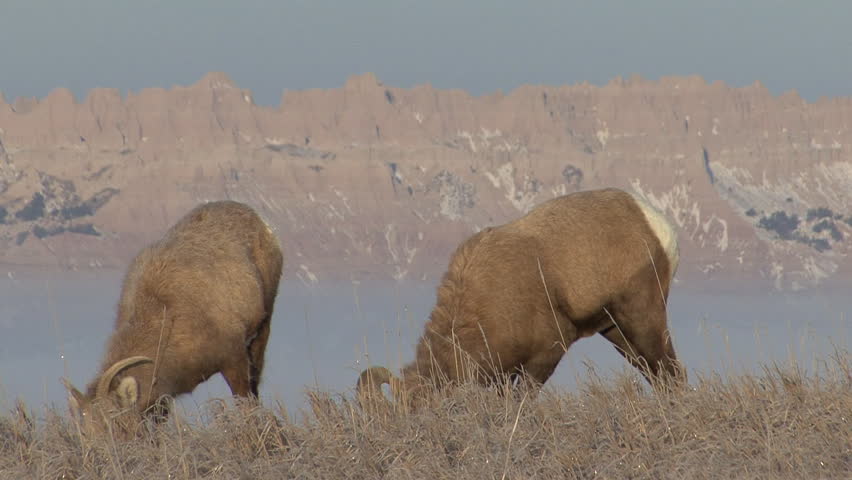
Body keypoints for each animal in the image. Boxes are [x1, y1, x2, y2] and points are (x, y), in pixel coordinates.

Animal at [61, 200, 283, 432]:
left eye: (114, 424)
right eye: (84, 430)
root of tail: (259, 220)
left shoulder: (234, 360)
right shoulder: (163, 398)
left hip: (263, 327)